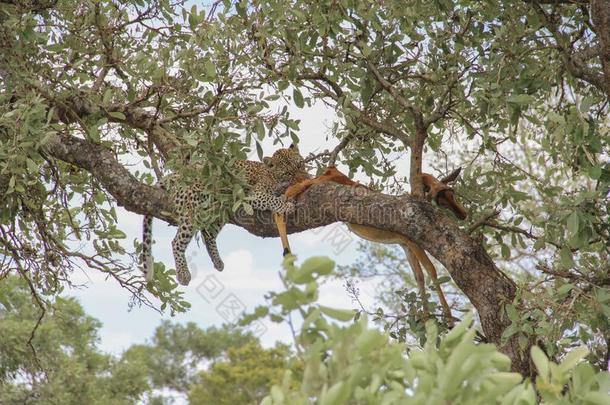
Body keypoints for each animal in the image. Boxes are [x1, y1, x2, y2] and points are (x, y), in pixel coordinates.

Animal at [141, 144, 306, 286]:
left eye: (300, 165)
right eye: (288, 173)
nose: (304, 178)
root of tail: (178, 174)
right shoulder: (253, 195)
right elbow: (271, 199)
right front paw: (286, 205)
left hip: (219, 211)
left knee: (207, 234)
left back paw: (217, 261)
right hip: (192, 208)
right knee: (177, 241)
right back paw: (183, 273)